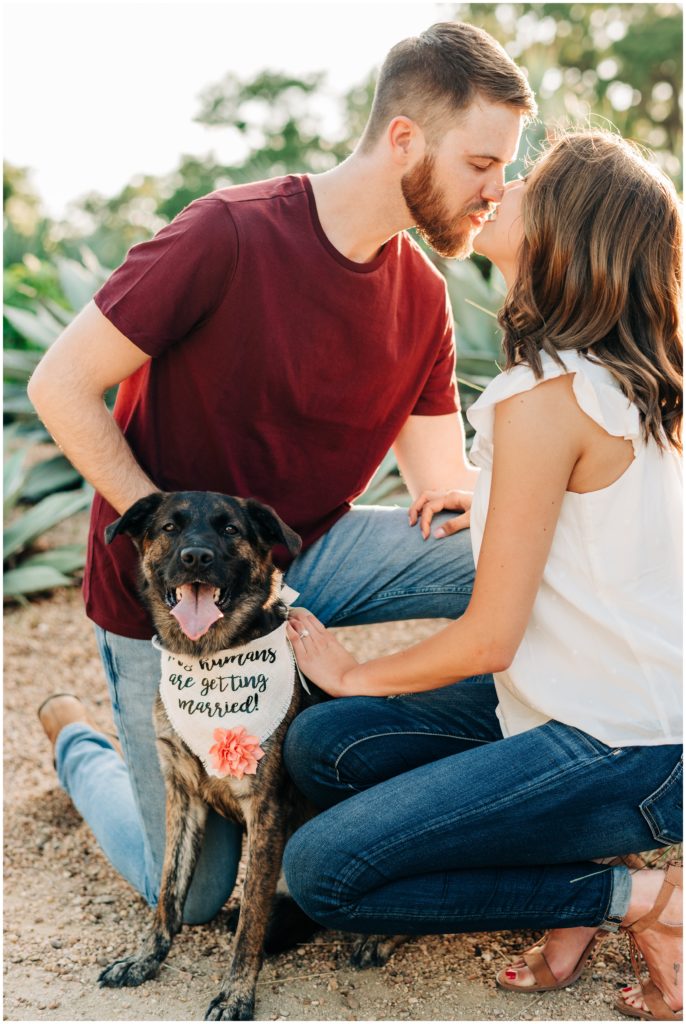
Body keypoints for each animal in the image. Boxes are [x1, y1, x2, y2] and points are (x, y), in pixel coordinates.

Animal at [94, 491, 401, 1019]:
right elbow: (169, 895)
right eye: (171, 527)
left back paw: (378, 937)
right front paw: (144, 959)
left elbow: (250, 923)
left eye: (230, 530)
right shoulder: (182, 795)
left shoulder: (266, 810)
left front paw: (235, 994)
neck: (206, 660)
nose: (196, 557)